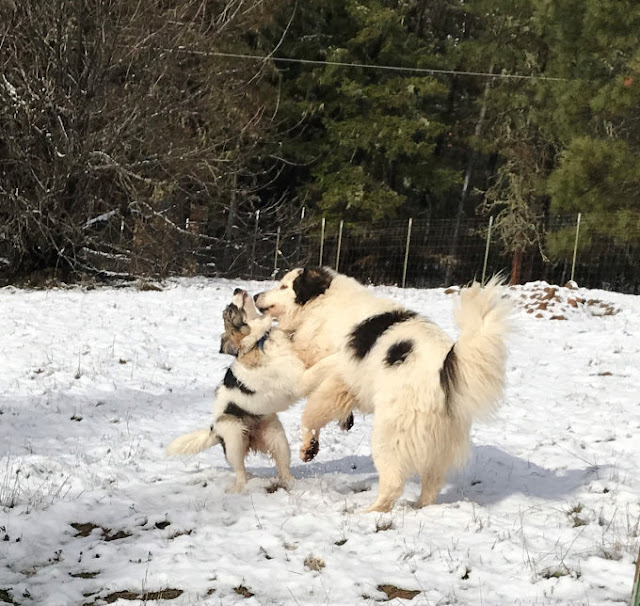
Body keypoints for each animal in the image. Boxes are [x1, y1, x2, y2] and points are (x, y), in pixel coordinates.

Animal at [164, 290, 306, 494]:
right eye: (229, 312)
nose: (237, 289)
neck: (260, 341)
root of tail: (214, 430)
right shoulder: (295, 375)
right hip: (235, 439)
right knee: (240, 473)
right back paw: (238, 490)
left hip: (278, 440)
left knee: (284, 469)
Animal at [255, 268, 510, 510]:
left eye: (284, 286)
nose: (256, 295)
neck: (324, 305)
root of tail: (445, 367)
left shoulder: (338, 378)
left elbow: (312, 414)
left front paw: (308, 446)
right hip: (437, 446)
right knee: (431, 485)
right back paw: (417, 506)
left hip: (389, 436)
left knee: (393, 485)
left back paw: (369, 512)